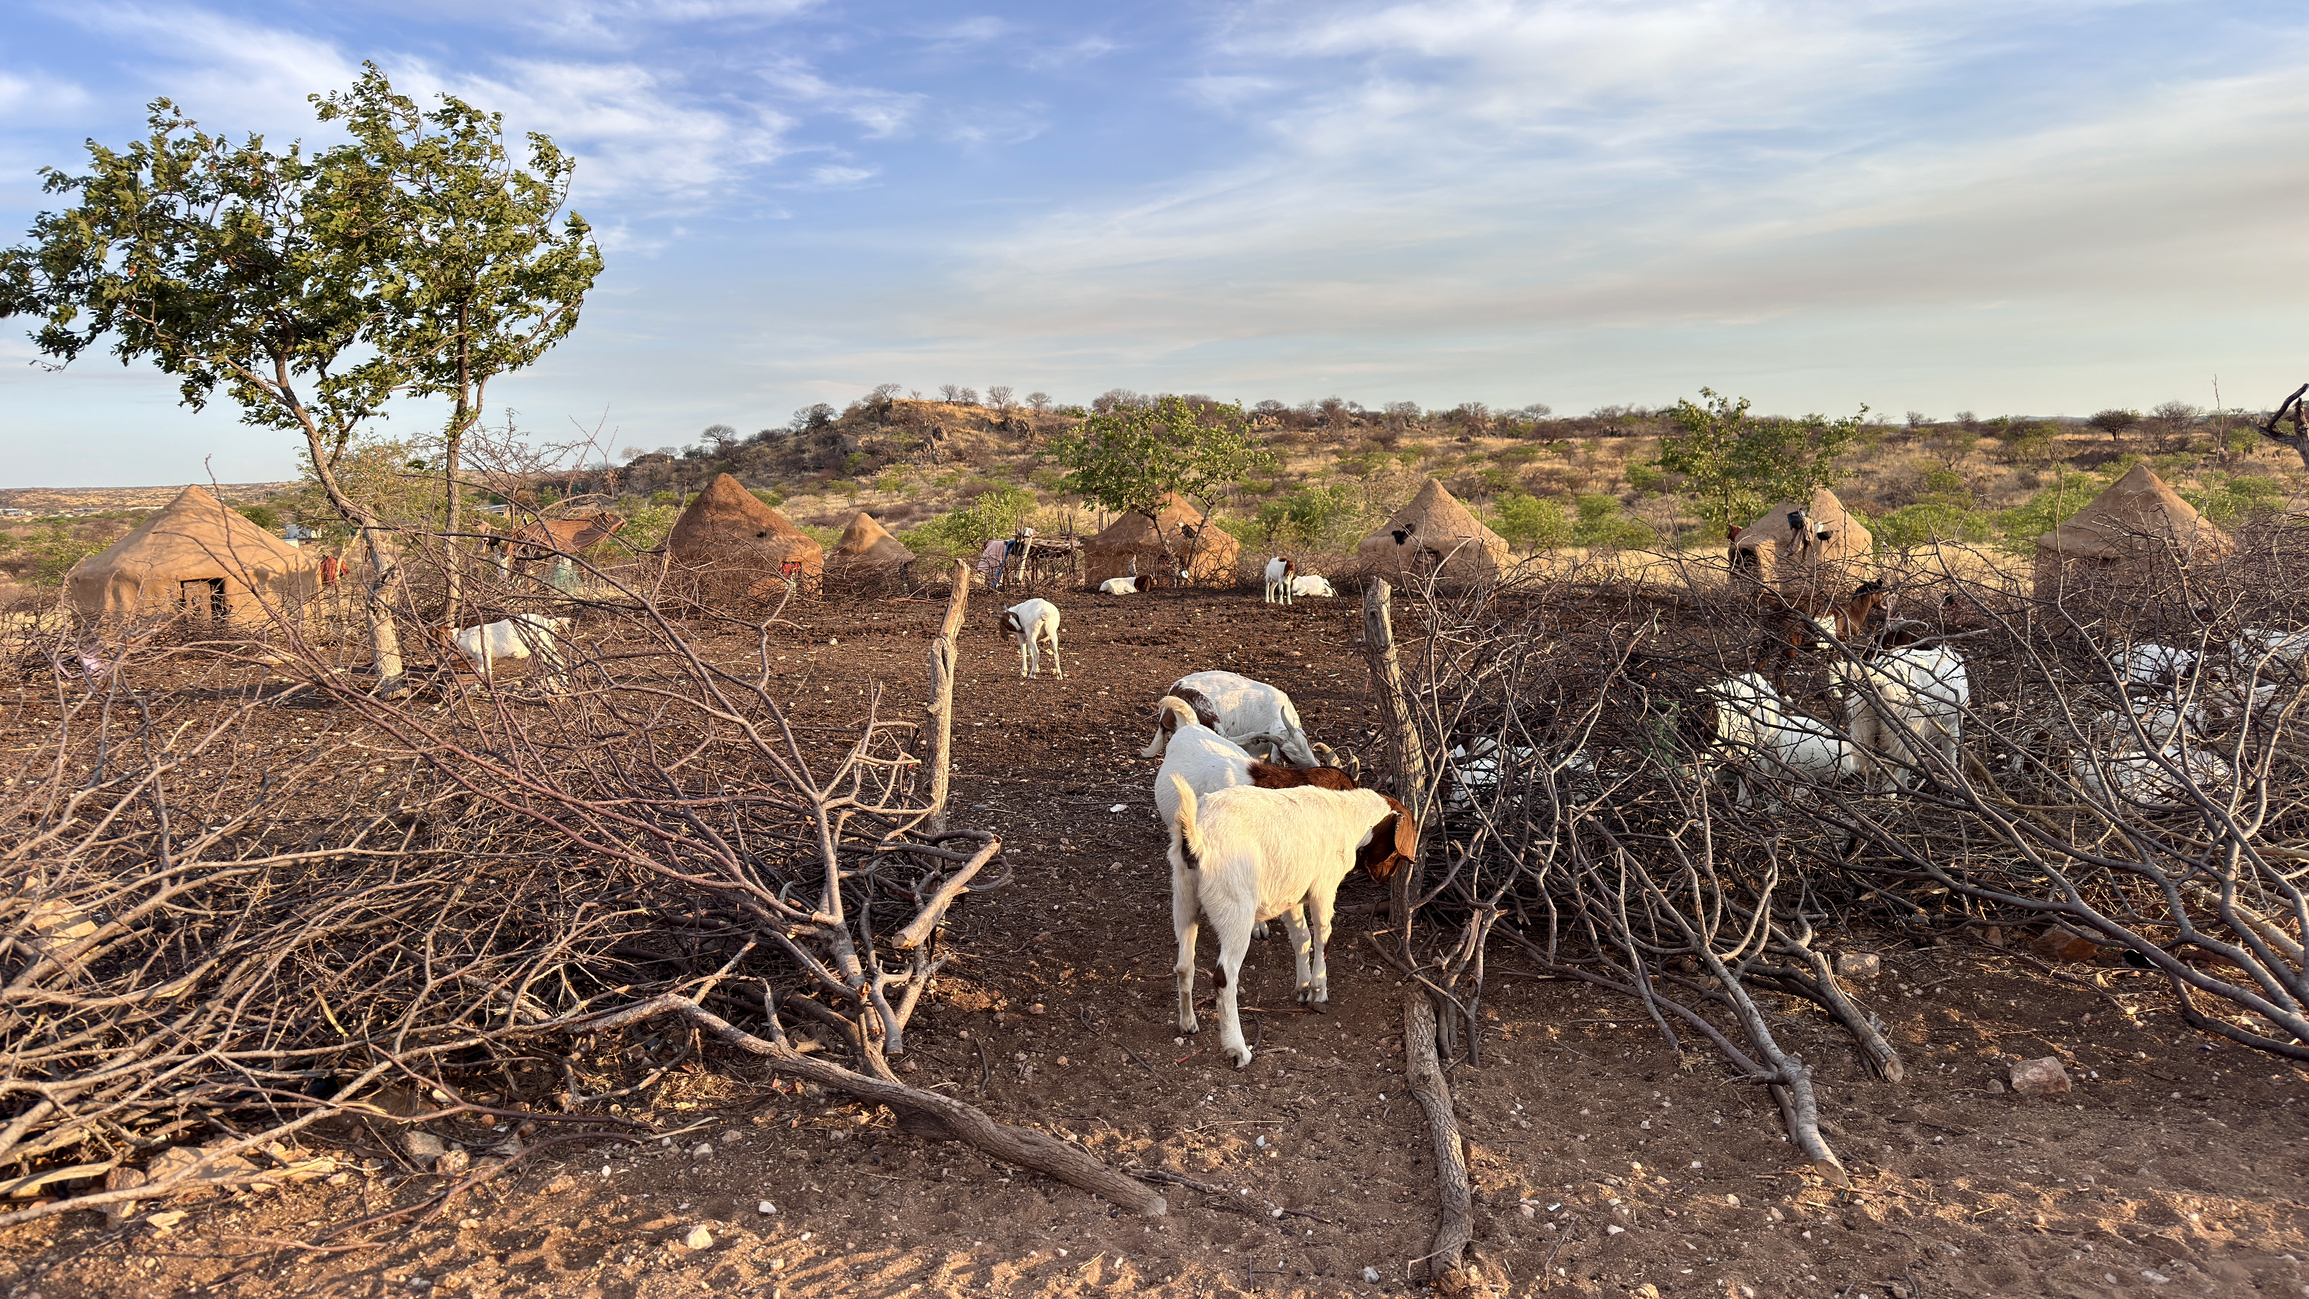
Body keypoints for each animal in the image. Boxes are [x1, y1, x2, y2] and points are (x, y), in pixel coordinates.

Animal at [436, 615, 572, 688]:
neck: (467, 637)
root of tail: (549, 622)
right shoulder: (480, 660)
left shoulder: (484, 655)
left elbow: (486, 672)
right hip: (541, 648)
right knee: (548, 663)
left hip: (546, 645)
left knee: (559, 661)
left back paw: (564, 680)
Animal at [1141, 670, 1320, 767]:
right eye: (1289, 758)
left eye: (1308, 743)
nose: (1315, 766)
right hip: (1203, 705)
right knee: (1223, 736)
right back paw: (1255, 737)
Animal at [1167, 775, 1414, 1067]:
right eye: (1395, 851)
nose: (1384, 877)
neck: (1346, 817)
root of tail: (1196, 836)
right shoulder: (1323, 889)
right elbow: (1323, 938)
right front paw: (1319, 991)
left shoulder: (1292, 896)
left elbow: (1301, 938)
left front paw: (1303, 986)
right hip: (1236, 908)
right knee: (1224, 978)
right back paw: (1238, 1049)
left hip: (1184, 898)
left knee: (1184, 965)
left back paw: (1188, 1023)